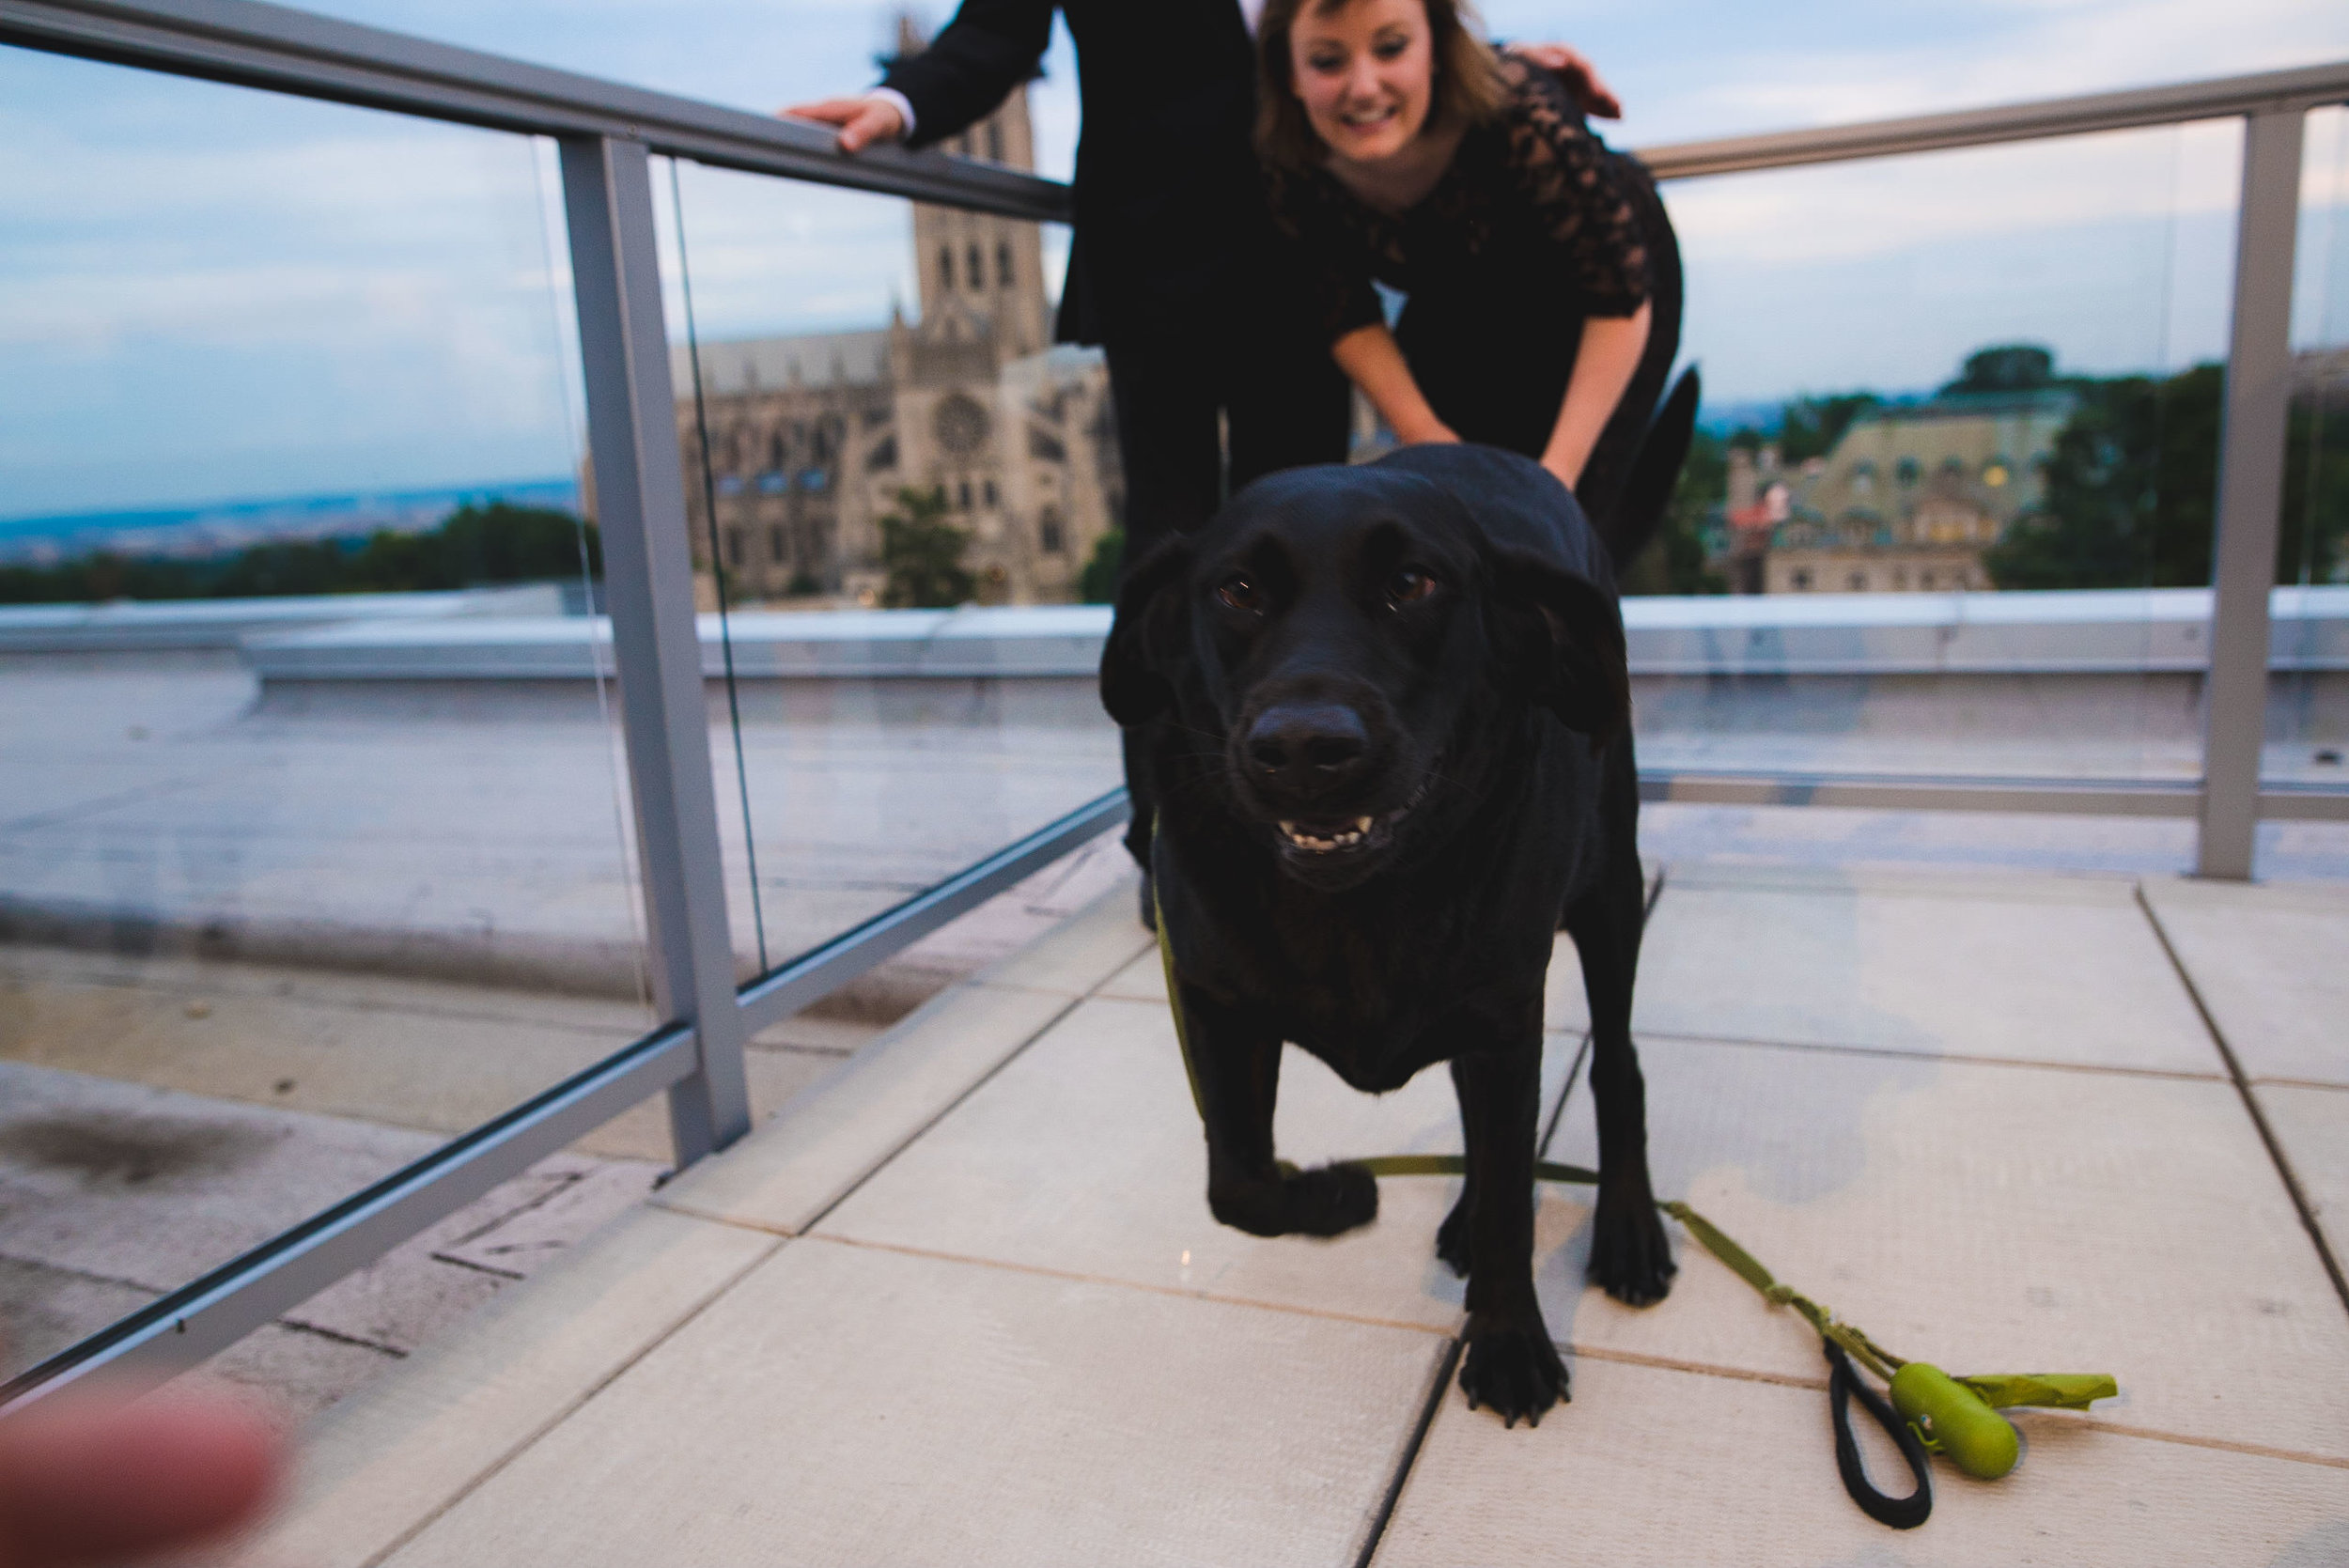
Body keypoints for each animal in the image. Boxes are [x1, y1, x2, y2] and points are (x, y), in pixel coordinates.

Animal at [1099, 425, 1691, 1418]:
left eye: (1412, 583)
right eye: (1238, 590)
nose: (1306, 748)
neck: (1357, 905)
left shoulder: (1505, 1015)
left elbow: (1512, 1202)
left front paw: (1508, 1338)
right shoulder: (1213, 999)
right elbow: (1237, 1181)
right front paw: (1334, 1194)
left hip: (1610, 897)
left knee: (1620, 1067)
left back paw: (1627, 1226)